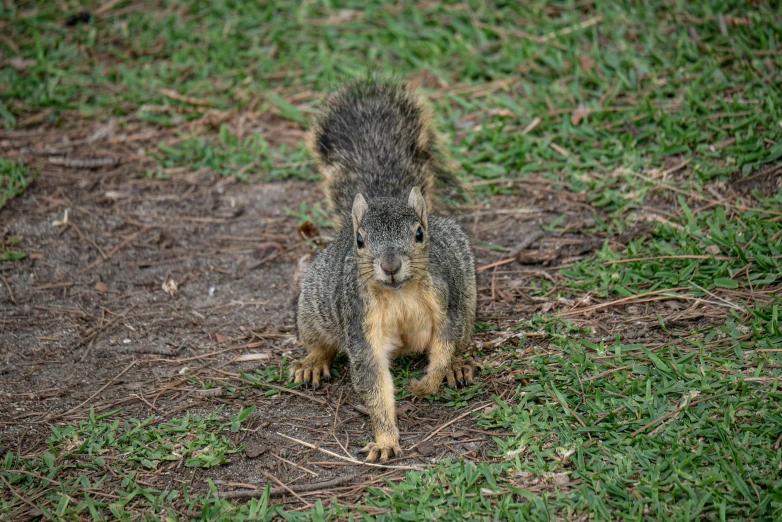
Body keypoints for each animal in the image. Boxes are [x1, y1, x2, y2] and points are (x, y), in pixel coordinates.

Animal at [292, 77, 478, 460]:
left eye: (419, 234)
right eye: (361, 240)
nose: (390, 265)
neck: (400, 293)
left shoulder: (446, 297)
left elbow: (444, 343)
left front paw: (426, 385)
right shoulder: (359, 320)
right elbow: (373, 380)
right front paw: (386, 440)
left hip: (468, 297)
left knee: (459, 340)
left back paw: (458, 365)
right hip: (314, 307)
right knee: (321, 342)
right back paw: (313, 362)